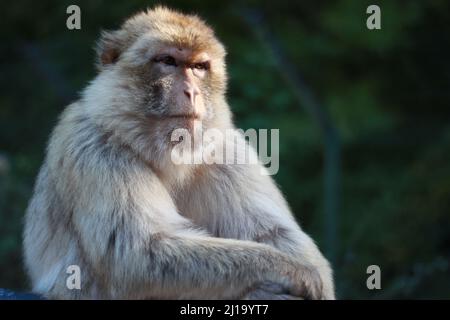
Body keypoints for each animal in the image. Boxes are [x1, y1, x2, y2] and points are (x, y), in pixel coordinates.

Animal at [23, 6, 334, 298]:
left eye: (199, 67)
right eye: (168, 61)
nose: (191, 92)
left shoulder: (226, 149)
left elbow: (276, 234)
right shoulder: (92, 144)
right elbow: (138, 252)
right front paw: (296, 272)